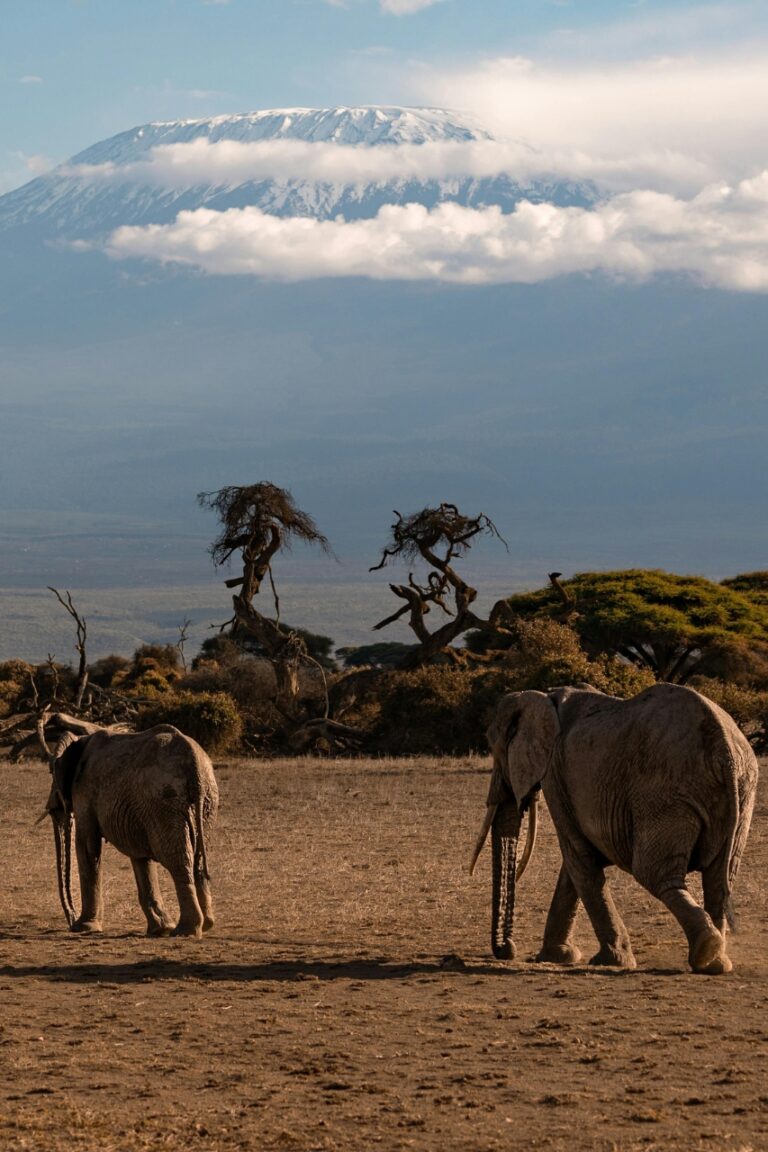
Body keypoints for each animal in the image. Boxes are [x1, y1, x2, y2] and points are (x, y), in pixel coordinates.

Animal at [46, 724, 219, 938]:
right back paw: (206, 924)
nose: (71, 921)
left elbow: (86, 846)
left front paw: (83, 928)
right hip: (206, 802)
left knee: (177, 859)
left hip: (164, 800)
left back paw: (185, 931)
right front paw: (160, 929)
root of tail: (195, 765)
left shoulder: (84, 791)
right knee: (198, 857)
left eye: (51, 771)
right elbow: (139, 855)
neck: (81, 740)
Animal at [469, 683, 758, 975]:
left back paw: (706, 950)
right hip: (741, 792)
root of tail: (723, 750)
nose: (507, 950)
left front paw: (611, 961)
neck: (543, 696)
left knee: (654, 873)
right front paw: (558, 956)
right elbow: (574, 865)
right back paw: (715, 962)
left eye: (496, 748)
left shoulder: (554, 775)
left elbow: (578, 857)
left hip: (665, 794)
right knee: (719, 878)